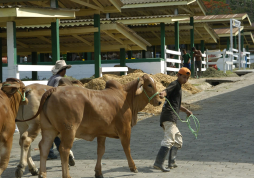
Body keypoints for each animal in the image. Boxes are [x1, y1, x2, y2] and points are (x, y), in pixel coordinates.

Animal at [28, 73, 163, 177]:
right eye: (149, 84)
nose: (160, 101)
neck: (126, 97)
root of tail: (54, 89)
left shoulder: (101, 133)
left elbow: (100, 151)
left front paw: (98, 172)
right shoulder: (125, 129)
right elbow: (127, 148)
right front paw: (133, 167)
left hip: (49, 129)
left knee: (44, 147)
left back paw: (42, 174)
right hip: (69, 130)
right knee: (64, 150)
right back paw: (66, 175)